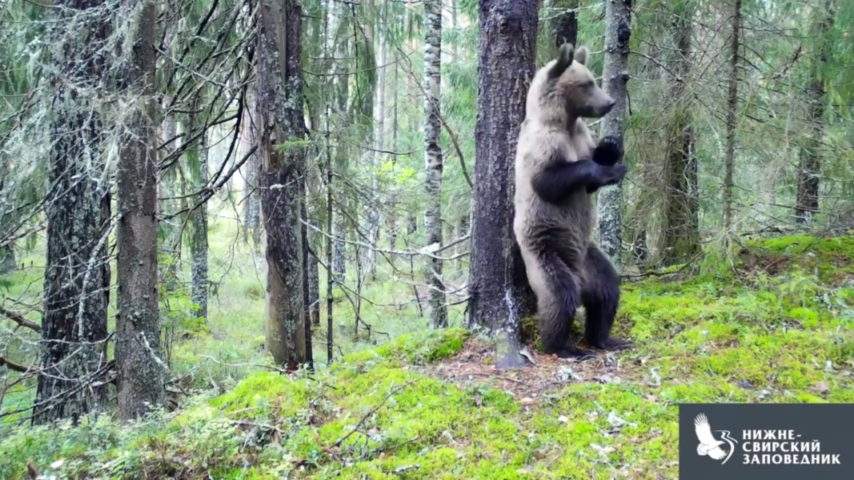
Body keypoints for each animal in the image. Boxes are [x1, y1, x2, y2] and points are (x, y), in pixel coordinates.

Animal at [512, 42, 630, 359]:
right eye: (588, 83)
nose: (610, 102)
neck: (564, 121)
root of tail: (581, 278)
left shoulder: (580, 135)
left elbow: (589, 181)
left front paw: (610, 147)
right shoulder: (542, 146)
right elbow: (549, 180)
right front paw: (609, 169)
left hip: (590, 258)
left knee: (608, 291)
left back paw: (606, 338)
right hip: (546, 251)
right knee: (560, 296)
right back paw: (564, 347)